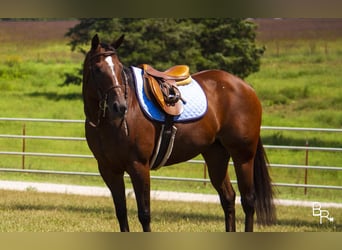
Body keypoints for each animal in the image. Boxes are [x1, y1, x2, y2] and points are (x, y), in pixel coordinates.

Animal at [82, 34, 276, 231]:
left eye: (120, 69)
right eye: (97, 69)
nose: (120, 106)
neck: (108, 123)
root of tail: (245, 87)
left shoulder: (139, 167)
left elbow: (144, 214)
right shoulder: (109, 170)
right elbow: (121, 213)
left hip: (243, 156)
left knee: (248, 201)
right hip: (216, 155)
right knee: (228, 198)